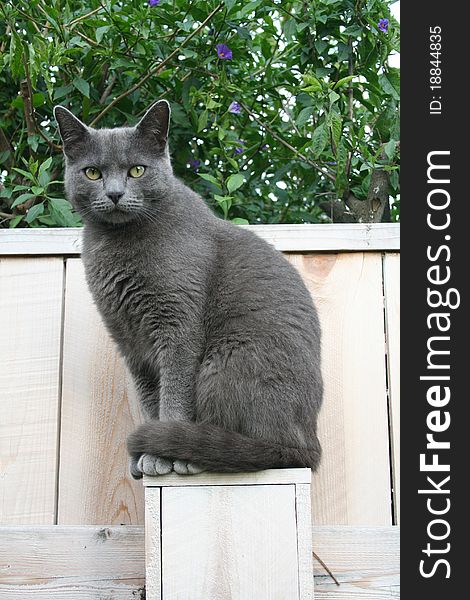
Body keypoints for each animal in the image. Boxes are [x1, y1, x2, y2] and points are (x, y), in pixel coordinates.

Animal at [52, 99, 324, 478]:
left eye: (137, 170)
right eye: (92, 173)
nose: (115, 194)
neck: (118, 243)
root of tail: (310, 443)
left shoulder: (177, 324)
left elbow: (174, 393)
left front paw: (159, 454)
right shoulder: (131, 342)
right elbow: (150, 399)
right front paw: (147, 452)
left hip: (226, 362)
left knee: (256, 447)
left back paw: (190, 455)